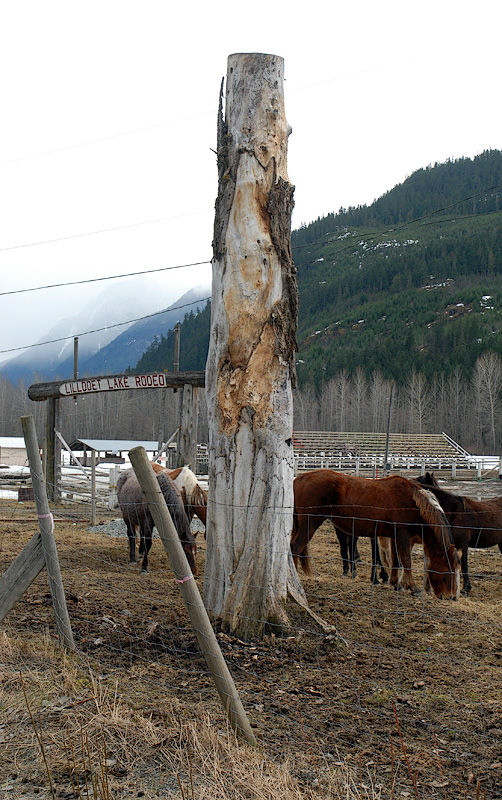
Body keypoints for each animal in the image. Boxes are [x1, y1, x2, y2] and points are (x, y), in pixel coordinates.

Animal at [292, 468, 460, 600]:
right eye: (449, 571)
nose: (450, 596)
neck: (413, 503)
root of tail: (298, 479)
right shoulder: (402, 535)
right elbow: (406, 561)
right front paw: (413, 588)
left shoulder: (394, 537)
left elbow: (395, 561)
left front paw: (395, 583)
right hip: (309, 524)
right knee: (295, 548)